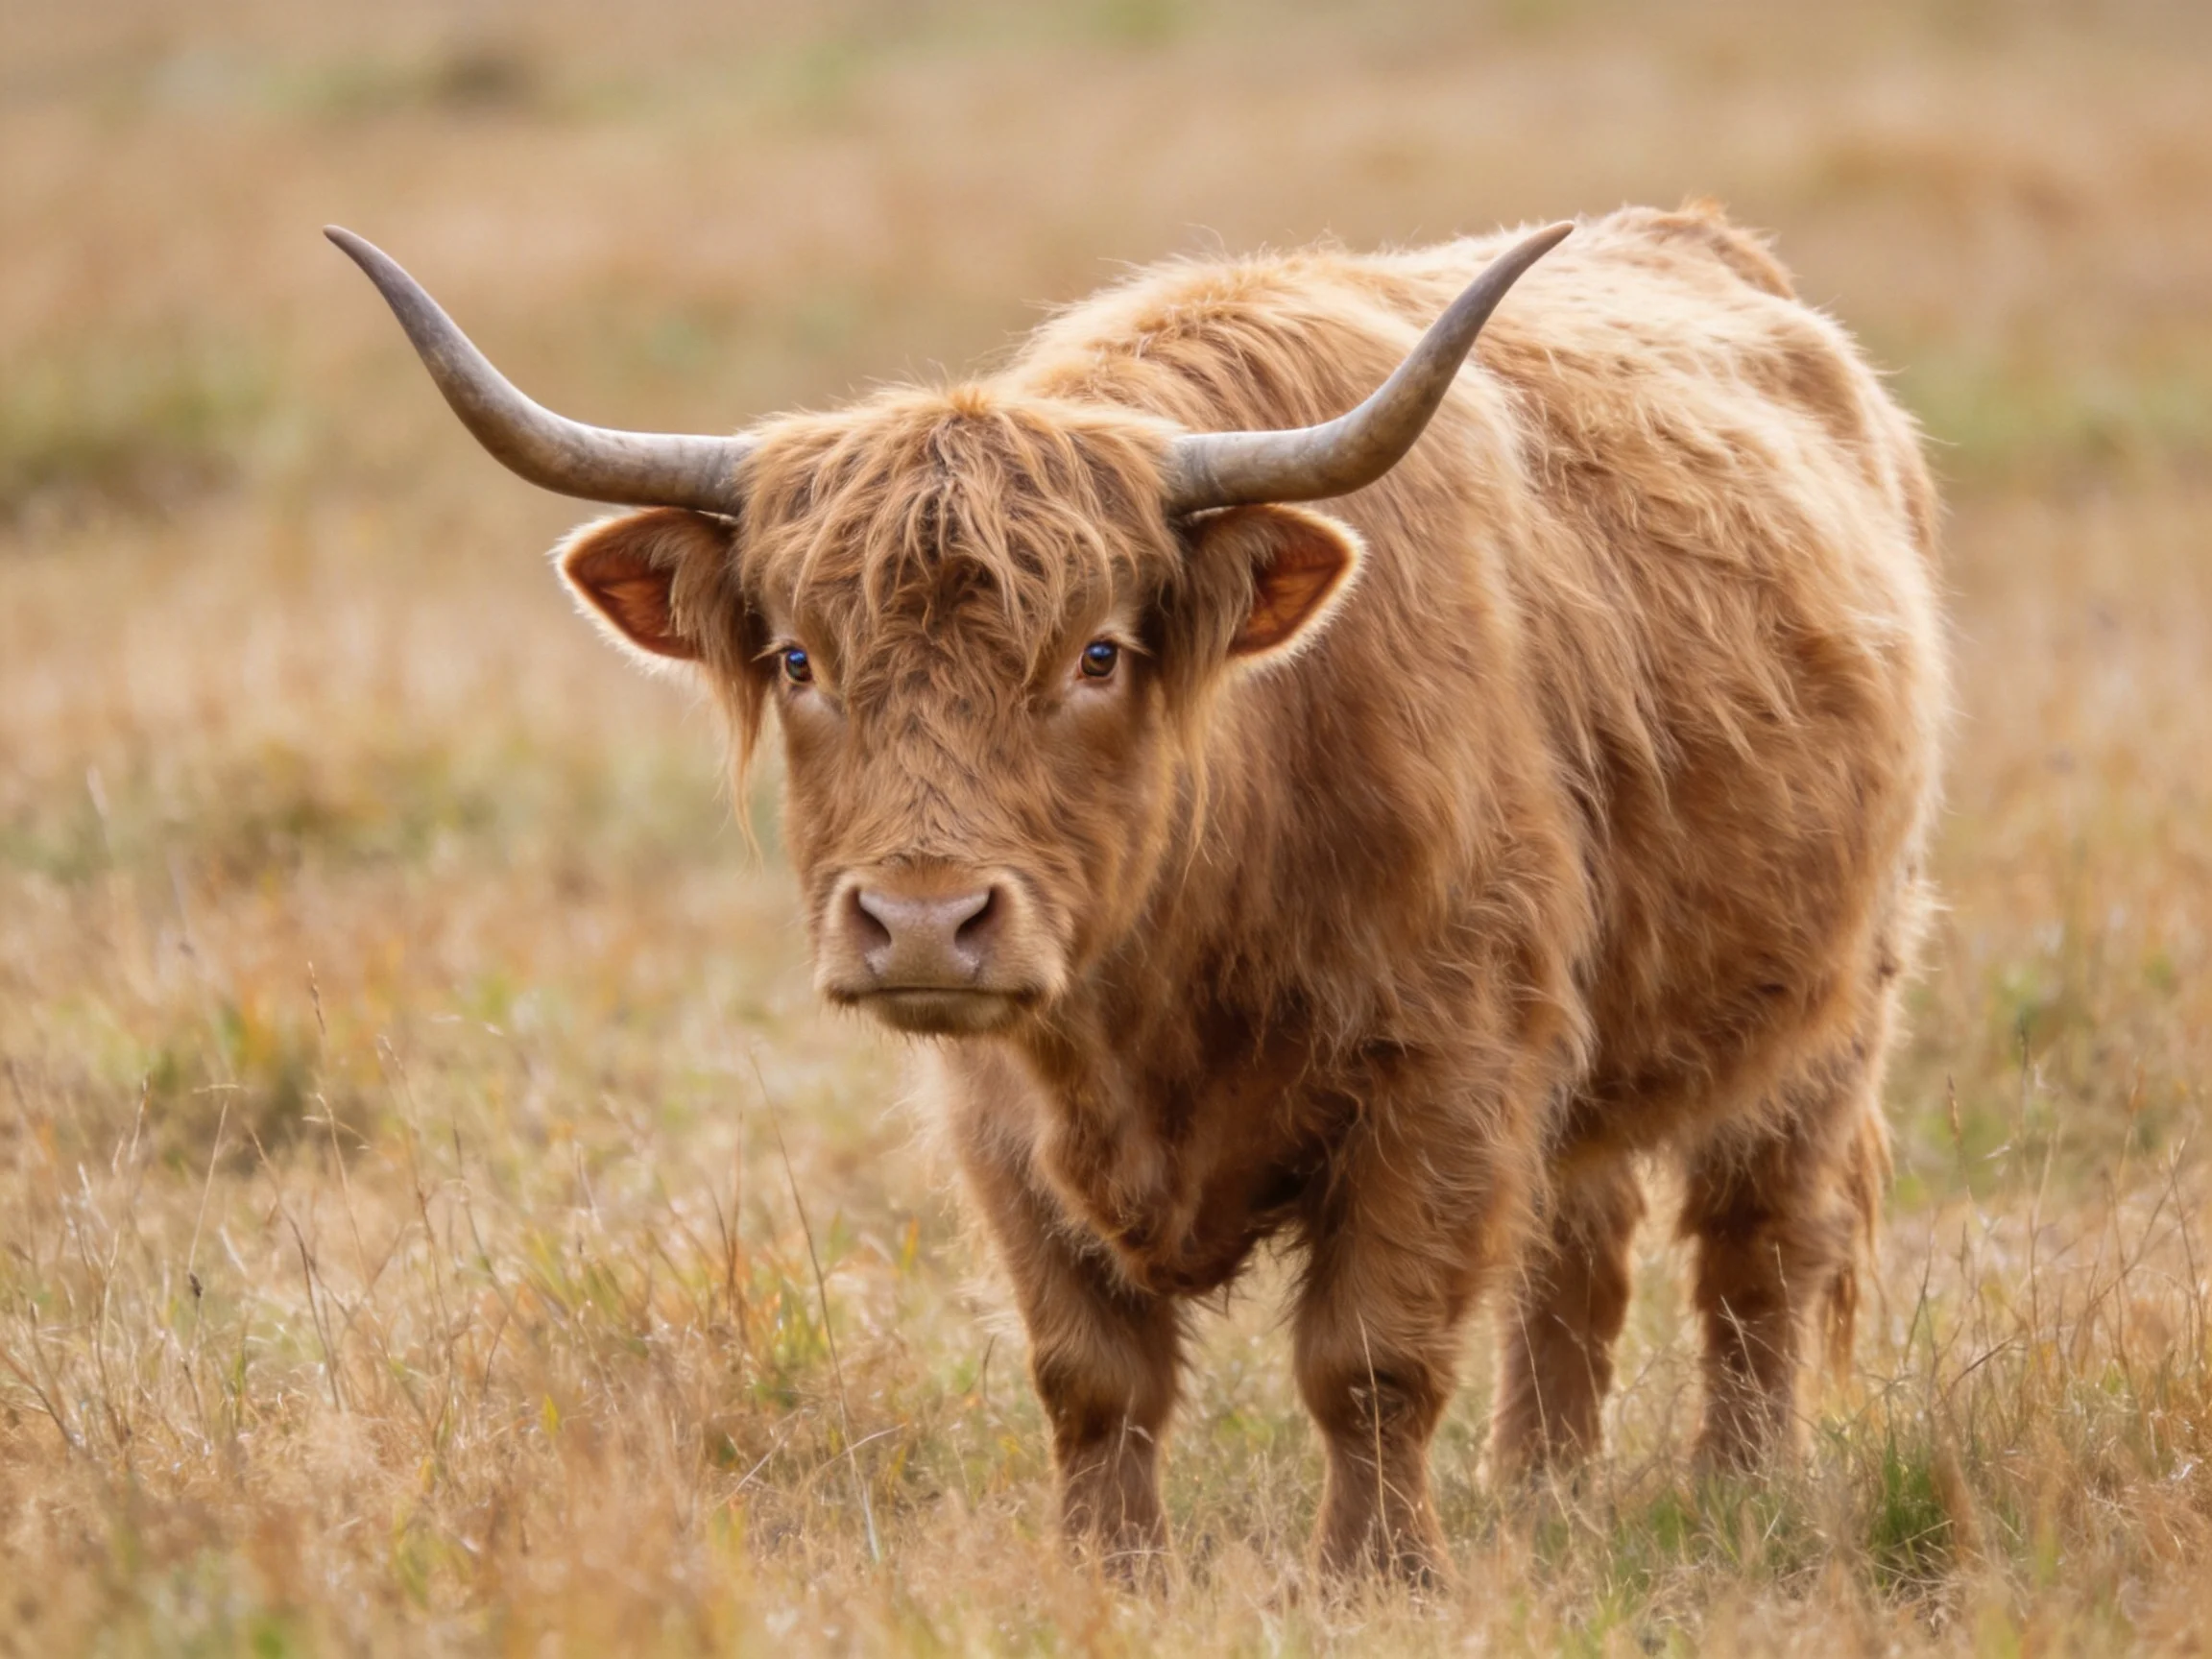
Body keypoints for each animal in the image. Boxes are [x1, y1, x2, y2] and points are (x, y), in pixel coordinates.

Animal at [329, 202, 1945, 1582]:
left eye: (1099, 653)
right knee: (1580, 1253)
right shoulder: (1001, 1115)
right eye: (798, 658)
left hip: (1830, 1011)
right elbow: (1091, 1376)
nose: (925, 922)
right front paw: (1111, 1577)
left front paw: (1378, 1577)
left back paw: (1737, 1493)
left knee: (1756, 1248)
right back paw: (1537, 1495)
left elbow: (1372, 1358)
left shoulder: (1452, 1066)